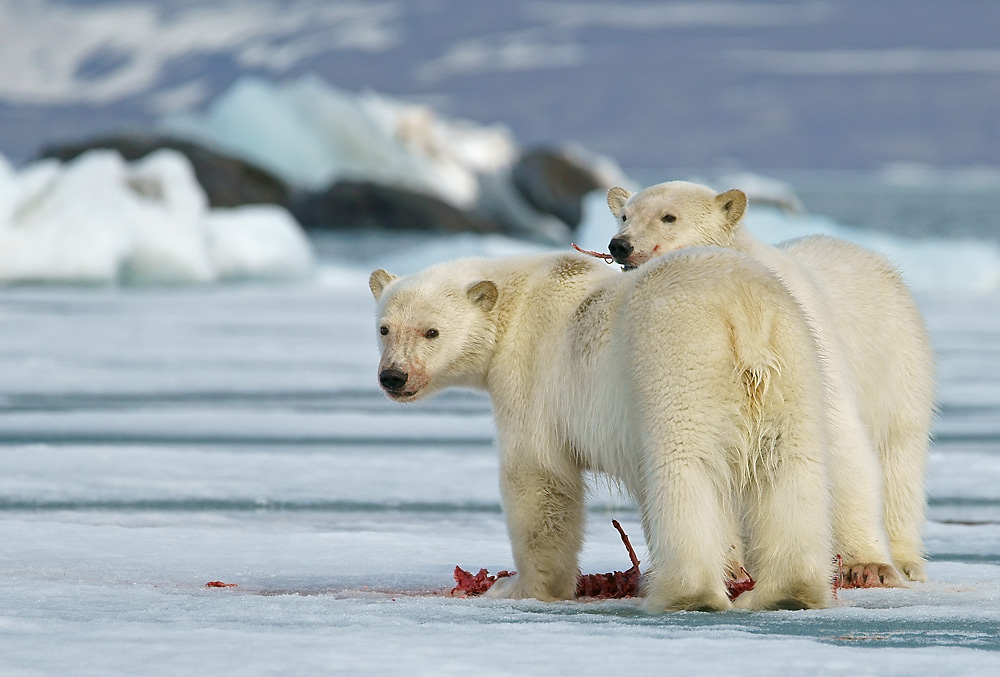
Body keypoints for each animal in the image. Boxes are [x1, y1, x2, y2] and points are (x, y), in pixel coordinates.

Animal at [368, 251, 836, 608]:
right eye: (384, 328)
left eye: (432, 331)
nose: (393, 377)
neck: (518, 301)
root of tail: (745, 313)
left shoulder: (529, 376)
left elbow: (538, 477)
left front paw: (518, 587)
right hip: (793, 363)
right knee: (790, 466)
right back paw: (783, 592)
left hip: (678, 361)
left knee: (683, 467)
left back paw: (684, 593)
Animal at [608, 182, 936, 584]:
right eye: (624, 215)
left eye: (669, 217)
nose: (620, 245)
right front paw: (724, 566)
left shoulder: (807, 347)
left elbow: (842, 444)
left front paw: (866, 565)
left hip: (897, 361)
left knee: (898, 453)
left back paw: (904, 558)